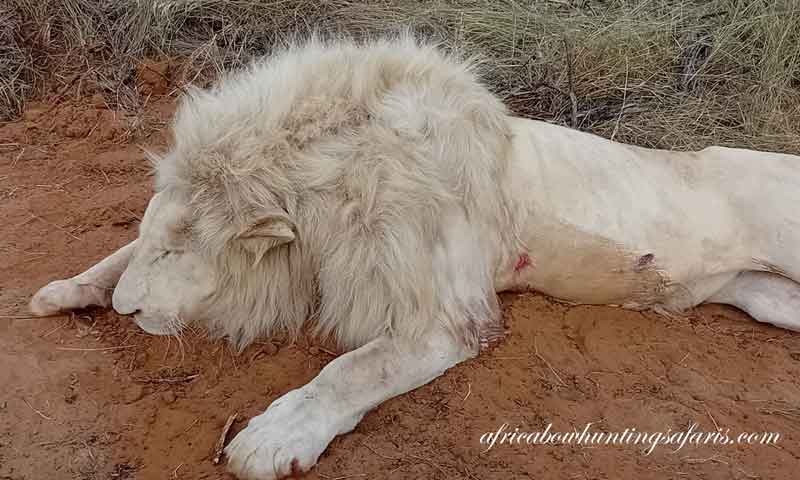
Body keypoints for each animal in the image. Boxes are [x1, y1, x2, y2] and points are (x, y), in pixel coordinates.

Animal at [29, 35, 800, 480]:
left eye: (178, 253)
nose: (127, 312)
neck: (323, 183)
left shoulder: (444, 318)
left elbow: (348, 371)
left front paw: (270, 439)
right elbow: (115, 250)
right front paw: (67, 290)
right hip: (767, 298)